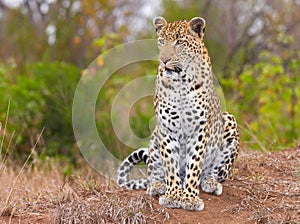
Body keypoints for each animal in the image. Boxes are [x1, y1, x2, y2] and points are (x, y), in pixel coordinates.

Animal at [116, 16, 240, 211]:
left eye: (179, 42)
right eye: (161, 41)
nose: (164, 60)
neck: (181, 81)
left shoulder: (199, 128)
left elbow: (194, 164)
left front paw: (189, 198)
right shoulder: (167, 127)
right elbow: (169, 164)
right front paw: (173, 196)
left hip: (229, 121)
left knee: (213, 172)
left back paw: (210, 183)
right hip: (155, 137)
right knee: (153, 171)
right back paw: (157, 186)